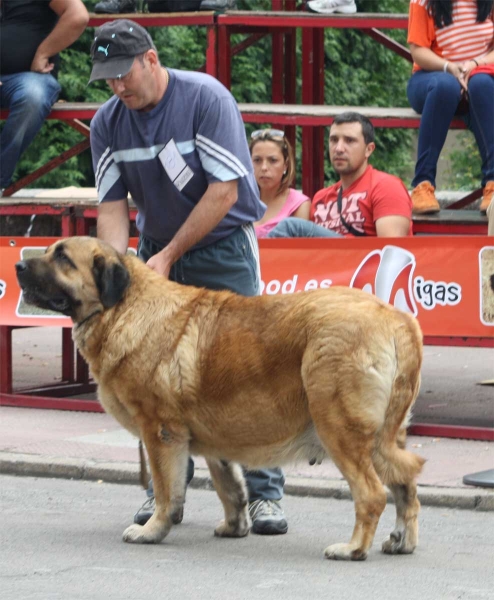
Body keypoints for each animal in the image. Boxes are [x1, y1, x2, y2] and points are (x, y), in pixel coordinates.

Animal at [15, 237, 424, 560]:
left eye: (62, 258)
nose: (17, 265)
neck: (121, 308)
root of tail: (397, 319)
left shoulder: (160, 433)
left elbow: (166, 491)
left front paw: (152, 530)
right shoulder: (213, 439)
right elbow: (229, 487)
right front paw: (234, 527)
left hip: (339, 428)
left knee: (372, 494)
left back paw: (352, 549)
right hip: (382, 439)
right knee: (405, 482)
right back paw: (401, 542)